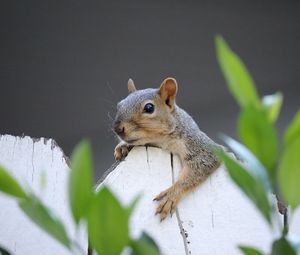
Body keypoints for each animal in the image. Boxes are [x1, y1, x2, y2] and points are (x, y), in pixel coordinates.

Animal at [112, 77, 220, 221]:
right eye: (119, 105)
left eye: (149, 108)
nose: (117, 128)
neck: (160, 140)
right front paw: (123, 146)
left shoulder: (196, 143)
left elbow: (200, 166)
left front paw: (171, 196)